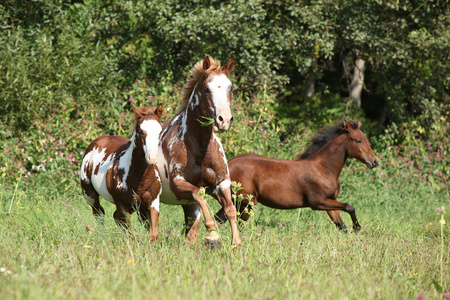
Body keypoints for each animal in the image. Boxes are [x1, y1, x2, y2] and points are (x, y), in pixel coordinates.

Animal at [80, 103, 163, 239]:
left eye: (160, 131)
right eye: (141, 131)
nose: (152, 158)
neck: (140, 178)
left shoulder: (152, 202)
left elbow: (153, 234)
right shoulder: (122, 205)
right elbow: (131, 235)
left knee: (116, 217)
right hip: (89, 194)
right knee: (99, 213)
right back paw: (103, 237)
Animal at [157, 56, 243, 246]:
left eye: (231, 87)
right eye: (206, 89)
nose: (224, 120)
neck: (200, 148)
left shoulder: (221, 183)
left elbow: (230, 209)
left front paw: (236, 242)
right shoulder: (178, 183)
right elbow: (199, 194)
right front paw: (213, 234)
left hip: (187, 203)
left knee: (191, 228)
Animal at [216, 119, 378, 232]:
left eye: (366, 139)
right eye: (358, 140)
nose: (374, 161)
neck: (323, 168)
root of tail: (228, 165)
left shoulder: (330, 202)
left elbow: (341, 226)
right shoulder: (318, 202)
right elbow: (349, 207)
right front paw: (357, 227)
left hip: (236, 201)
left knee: (220, 219)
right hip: (246, 203)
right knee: (238, 224)